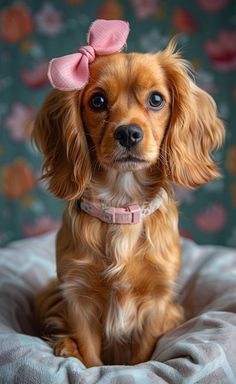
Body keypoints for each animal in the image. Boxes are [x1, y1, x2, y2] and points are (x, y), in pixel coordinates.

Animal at [32, 18, 223, 366]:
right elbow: (91, 356)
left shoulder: (159, 300)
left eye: (156, 99)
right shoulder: (77, 295)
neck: (122, 203)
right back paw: (65, 345)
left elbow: (142, 355)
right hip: (48, 293)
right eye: (97, 101)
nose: (128, 133)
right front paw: (87, 364)